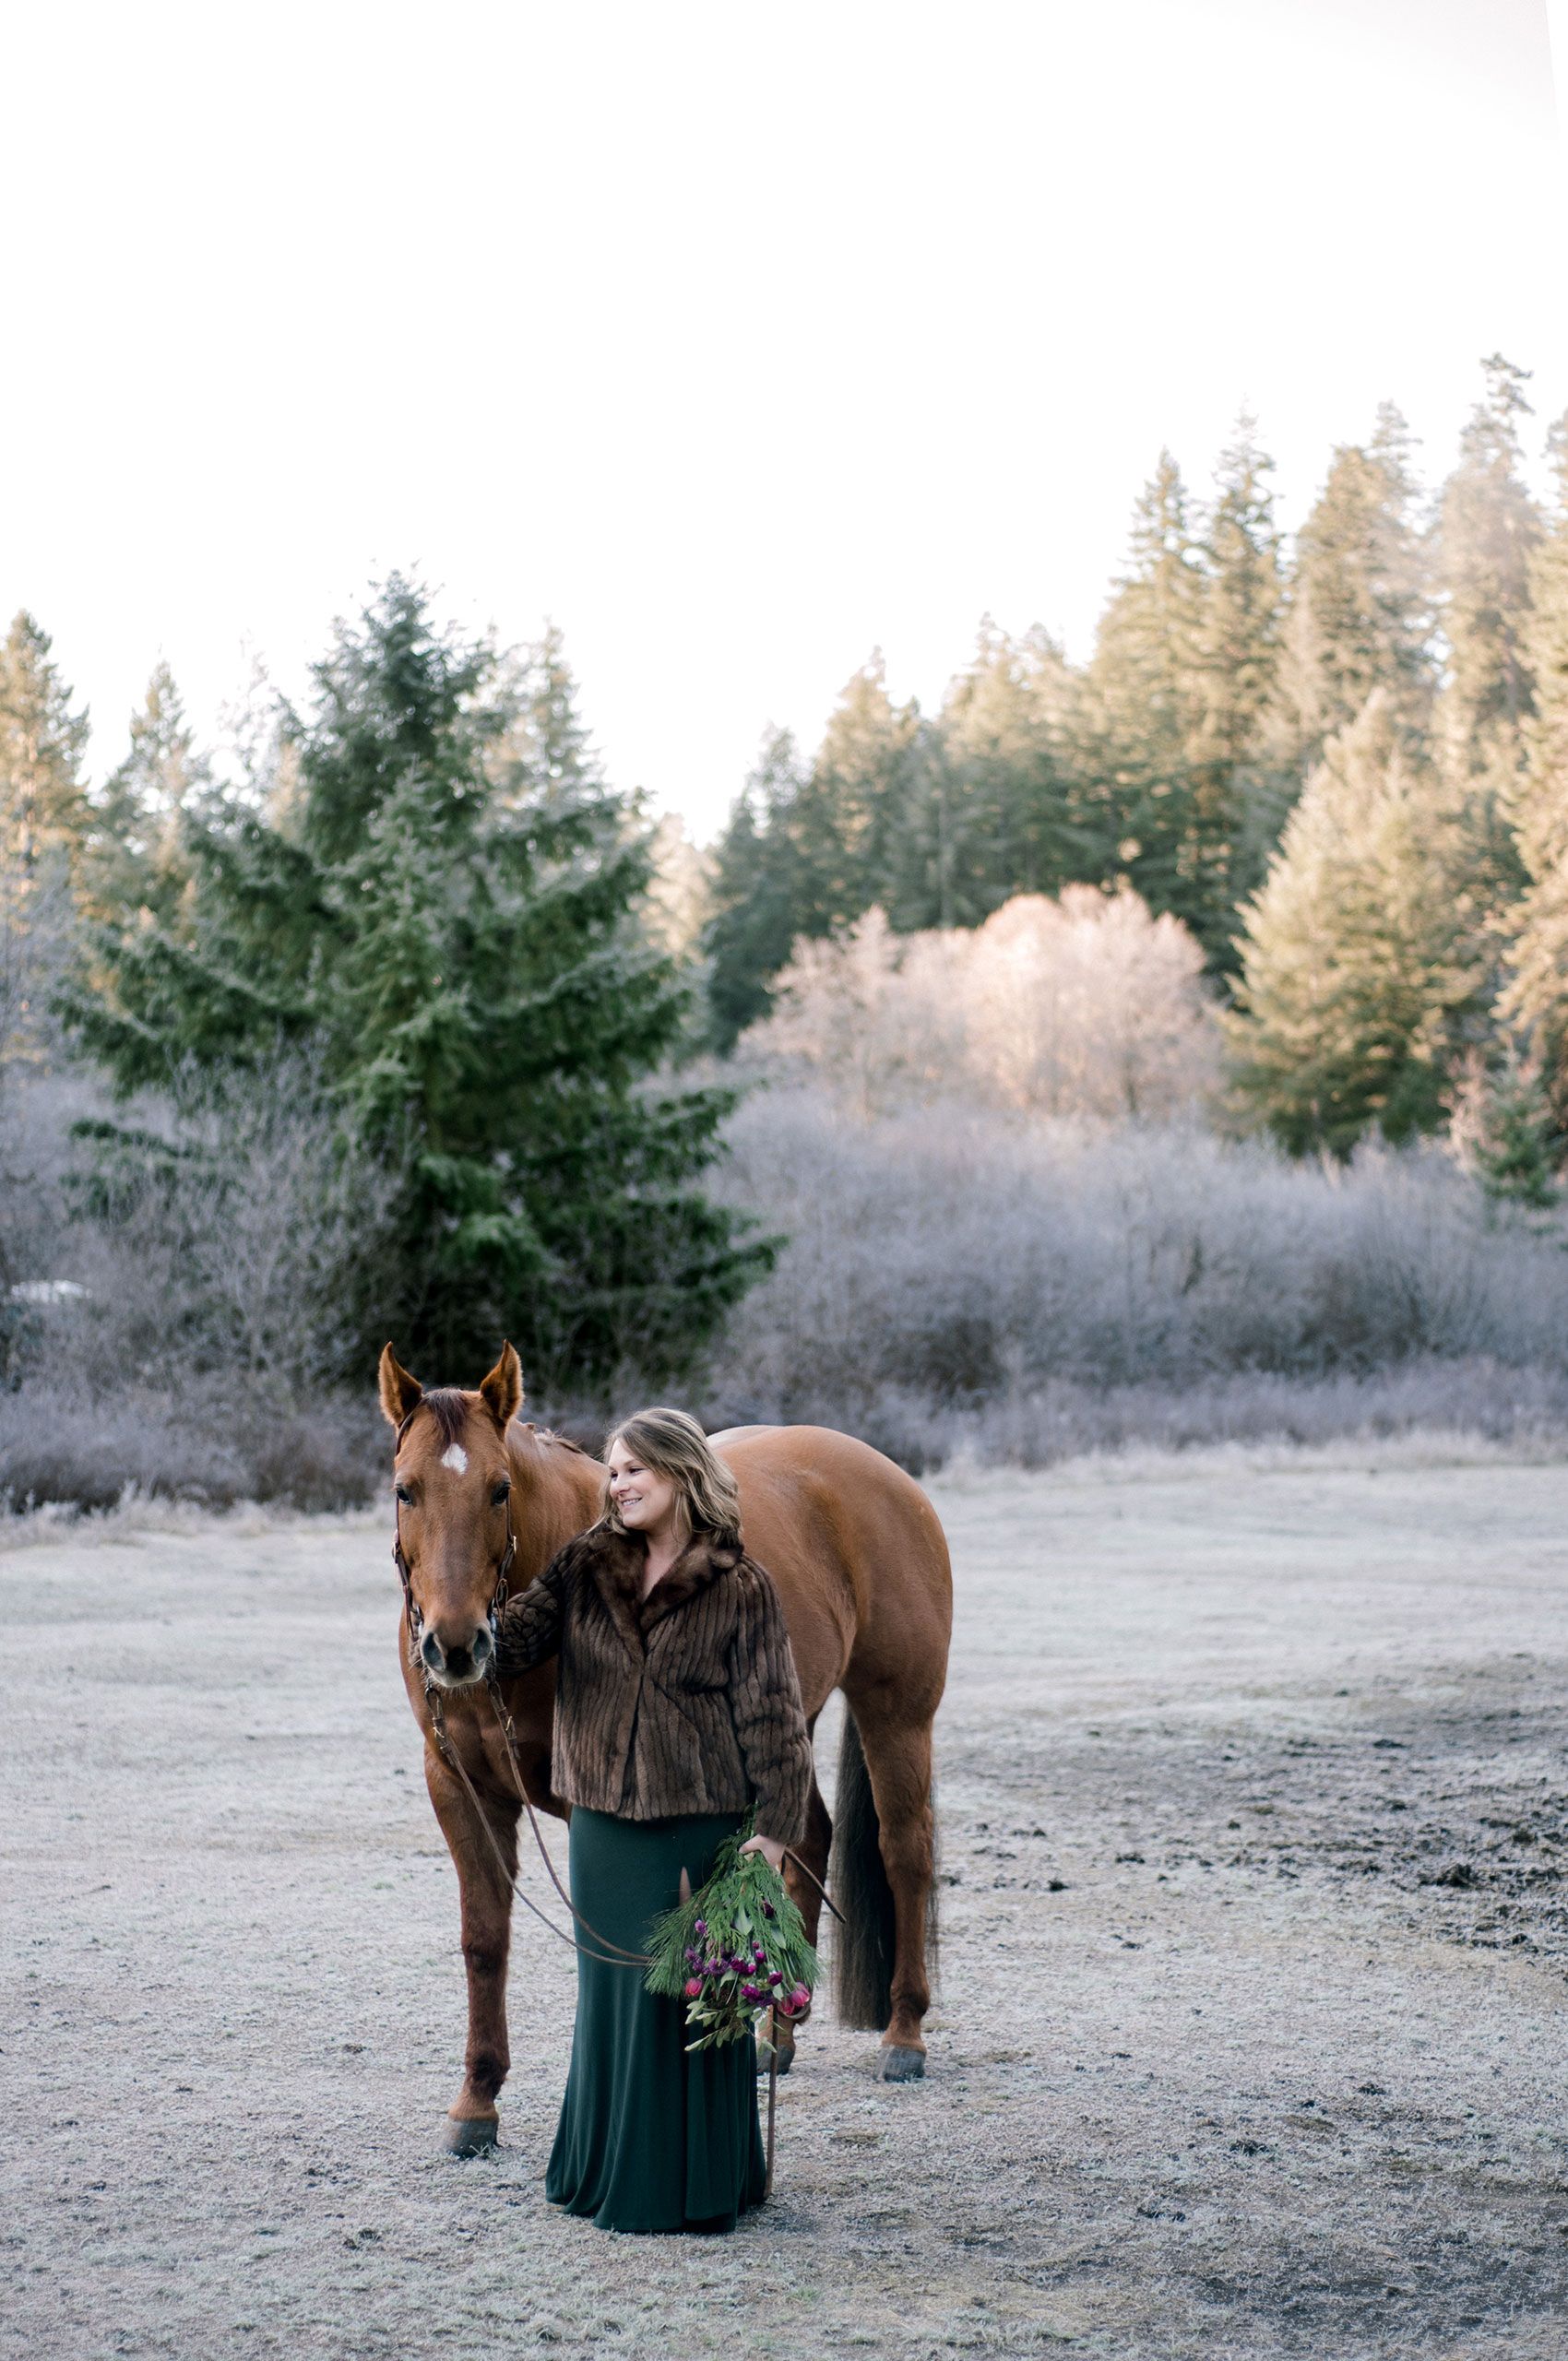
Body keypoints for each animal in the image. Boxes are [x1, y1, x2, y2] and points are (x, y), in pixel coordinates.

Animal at [380, 1341, 949, 2153]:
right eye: (406, 1490)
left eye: (498, 1489)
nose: (456, 1646)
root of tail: (890, 1478)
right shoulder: (461, 1788)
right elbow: (484, 1940)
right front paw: (476, 2105)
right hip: (786, 1717)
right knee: (805, 1838)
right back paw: (777, 2035)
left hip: (896, 1715)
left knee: (905, 1852)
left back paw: (903, 2036)